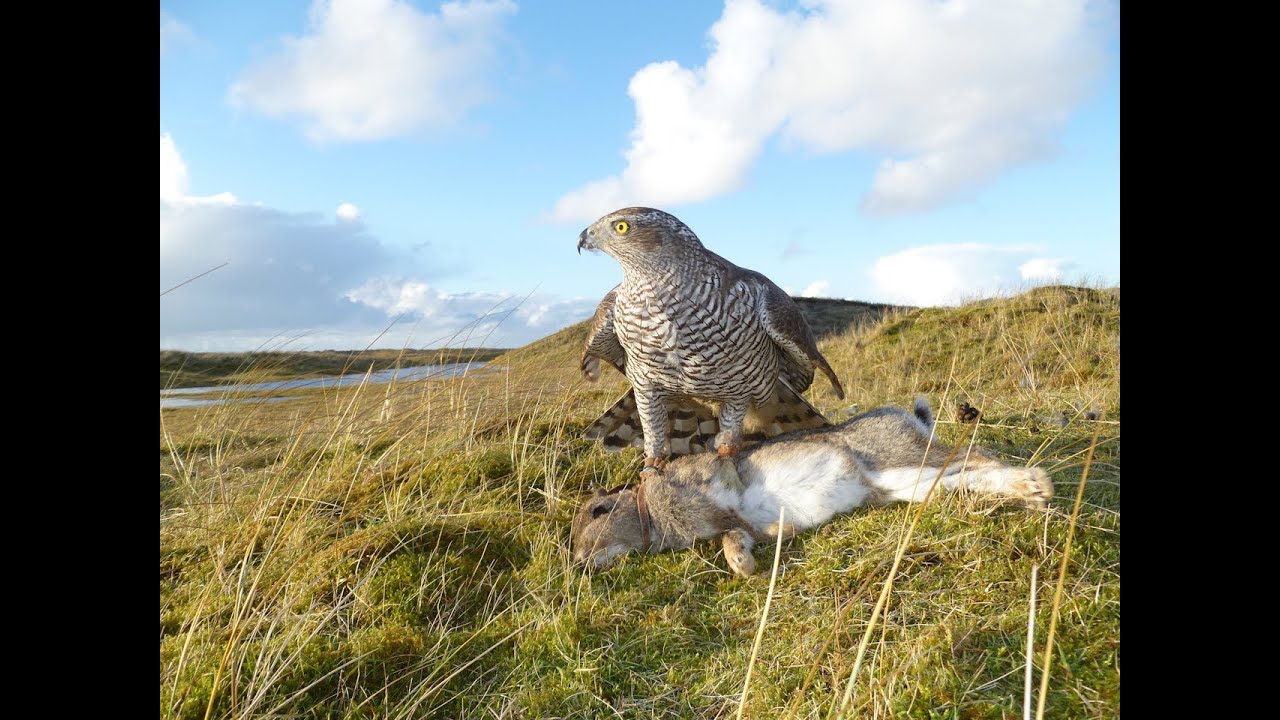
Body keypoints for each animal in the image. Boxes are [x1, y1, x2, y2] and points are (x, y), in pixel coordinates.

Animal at [571, 396, 1053, 577]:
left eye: (598, 511)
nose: (578, 561)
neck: (648, 510)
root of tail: (913, 418)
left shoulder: (710, 483)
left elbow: (728, 478)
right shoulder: (734, 525)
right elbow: (734, 536)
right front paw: (746, 564)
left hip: (903, 456)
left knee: (979, 456)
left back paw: (1038, 484)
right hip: (909, 483)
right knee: (970, 477)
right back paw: (1032, 494)